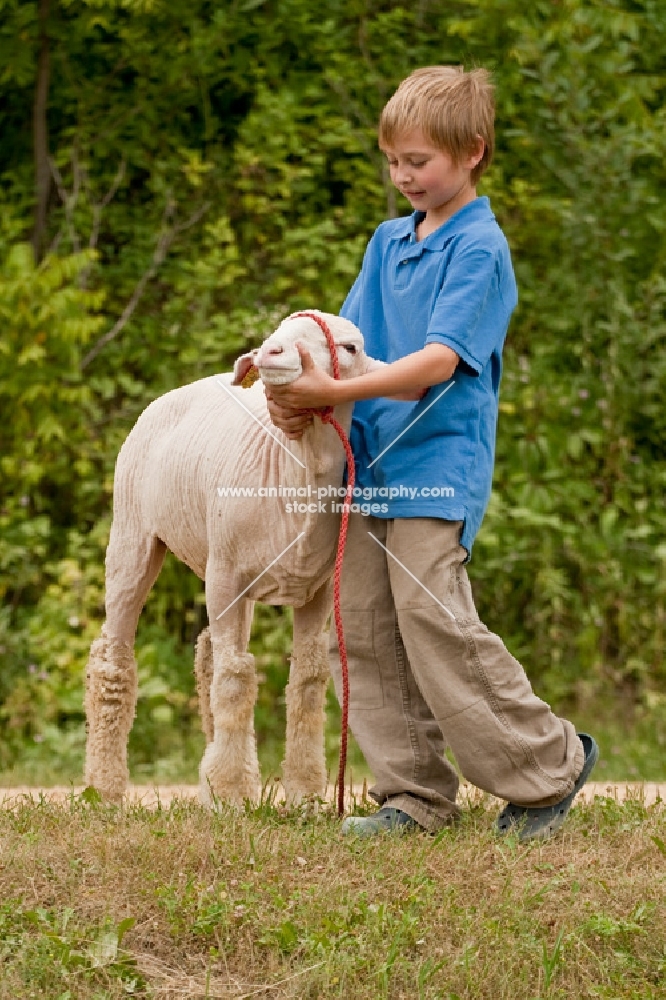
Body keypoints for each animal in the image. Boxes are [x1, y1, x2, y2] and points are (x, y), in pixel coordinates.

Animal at [83, 308, 376, 808]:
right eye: (278, 332)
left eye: (350, 347)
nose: (270, 353)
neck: (295, 468)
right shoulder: (226, 578)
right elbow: (236, 678)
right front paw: (233, 793)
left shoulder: (316, 587)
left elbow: (308, 680)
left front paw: (303, 795)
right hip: (133, 530)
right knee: (113, 658)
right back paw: (104, 787)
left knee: (207, 655)